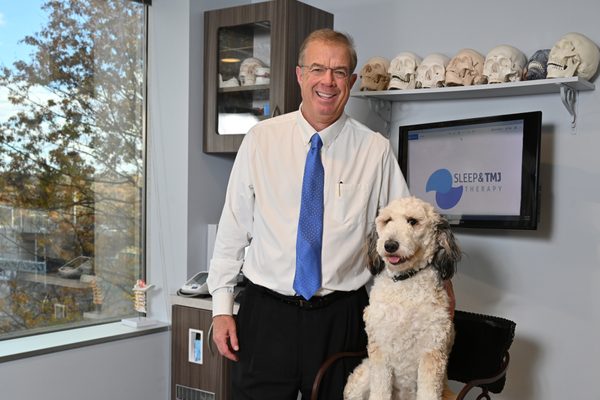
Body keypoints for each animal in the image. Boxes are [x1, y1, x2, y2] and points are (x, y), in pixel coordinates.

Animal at [342, 197, 460, 400]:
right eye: (387, 220)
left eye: (412, 221)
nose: (390, 245)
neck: (405, 284)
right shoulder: (380, 350)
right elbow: (380, 391)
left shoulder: (432, 352)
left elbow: (428, 392)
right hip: (360, 379)